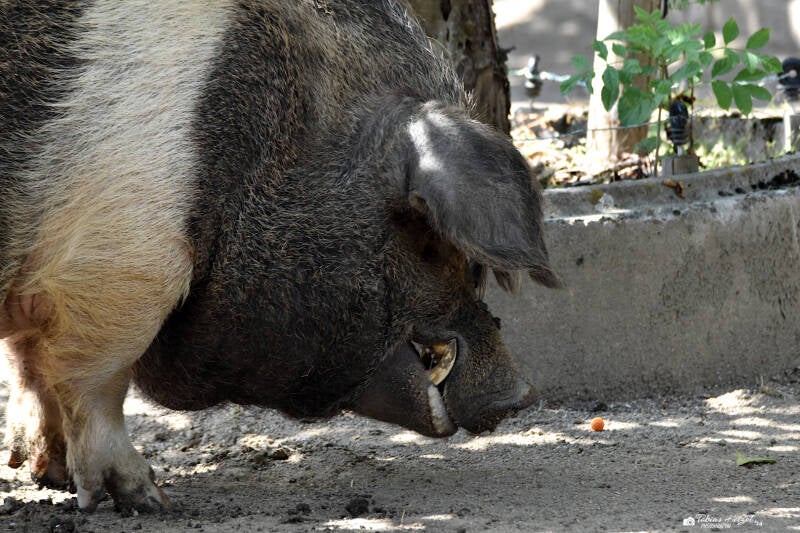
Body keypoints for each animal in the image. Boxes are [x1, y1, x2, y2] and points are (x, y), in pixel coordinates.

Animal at [0, 0, 559, 514]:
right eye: (427, 238)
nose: (520, 397)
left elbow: (32, 369)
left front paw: (51, 476)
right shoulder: (123, 262)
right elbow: (95, 381)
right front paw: (149, 501)